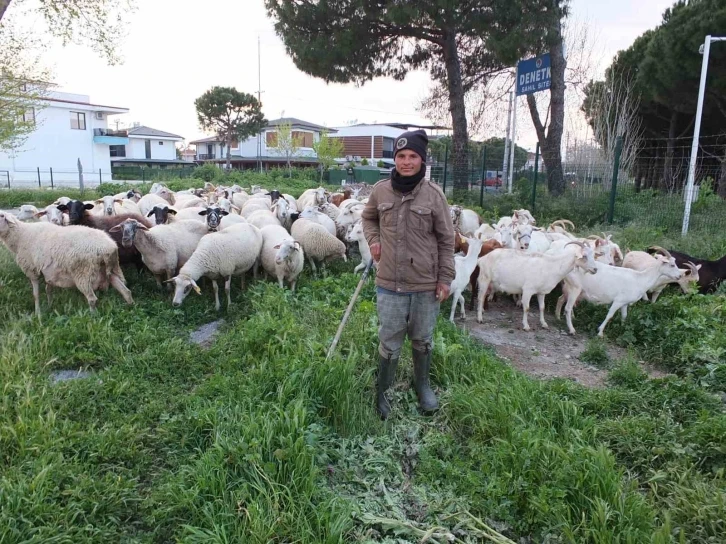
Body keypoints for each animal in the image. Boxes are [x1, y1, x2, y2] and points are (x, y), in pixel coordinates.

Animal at [0, 211, 134, 316]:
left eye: (2, 215)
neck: (21, 236)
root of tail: (109, 247)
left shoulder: (32, 270)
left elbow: (35, 294)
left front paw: (37, 313)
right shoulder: (49, 272)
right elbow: (48, 289)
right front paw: (49, 305)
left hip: (83, 274)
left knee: (92, 299)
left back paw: (93, 317)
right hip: (111, 269)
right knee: (126, 291)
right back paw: (131, 309)